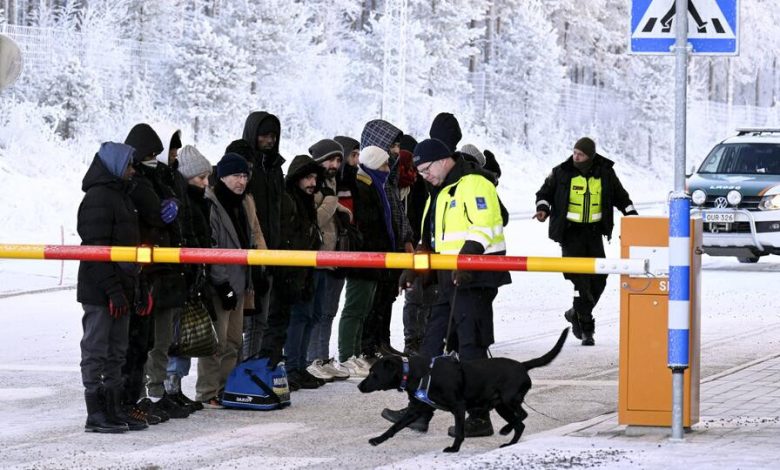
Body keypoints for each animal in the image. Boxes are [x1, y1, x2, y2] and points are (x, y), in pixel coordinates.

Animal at [358, 326, 568, 452]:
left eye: (373, 373)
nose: (360, 386)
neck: (417, 372)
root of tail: (523, 366)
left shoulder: (458, 407)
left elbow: (459, 431)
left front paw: (454, 449)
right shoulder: (418, 408)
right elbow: (395, 426)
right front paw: (378, 439)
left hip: (508, 402)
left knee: (522, 418)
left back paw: (507, 436)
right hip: (501, 405)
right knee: (521, 420)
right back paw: (508, 437)